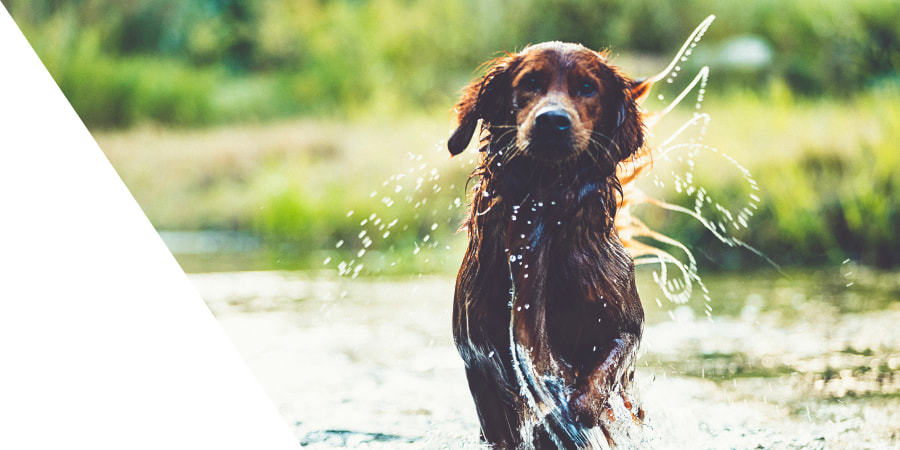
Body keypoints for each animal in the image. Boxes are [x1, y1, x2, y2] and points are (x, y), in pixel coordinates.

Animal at [448, 41, 652, 446]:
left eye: (588, 88)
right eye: (530, 82)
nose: (553, 121)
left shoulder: (626, 325)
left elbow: (600, 377)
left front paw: (572, 408)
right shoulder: (479, 359)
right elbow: (506, 425)